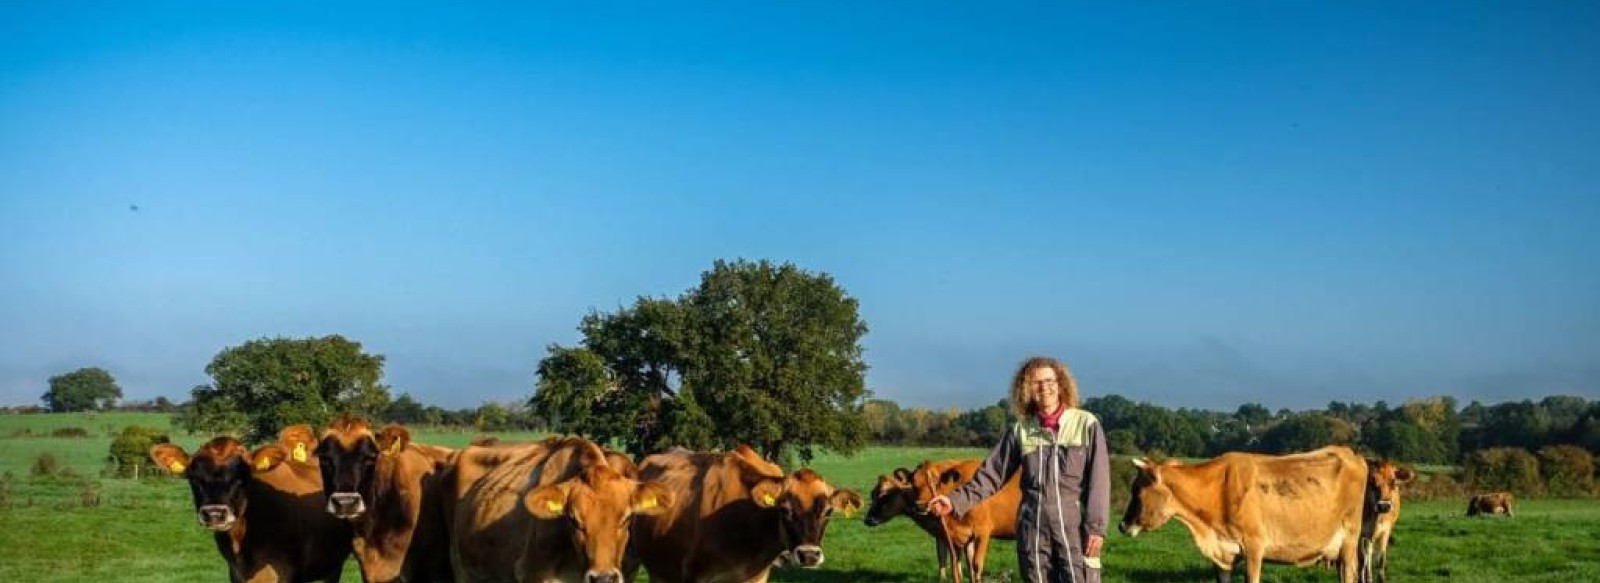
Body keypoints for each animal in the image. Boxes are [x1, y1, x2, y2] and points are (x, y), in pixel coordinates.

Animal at [1120, 445, 1369, 583]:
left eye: (1137, 490)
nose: (1122, 526)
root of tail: (1350, 453)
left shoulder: (1254, 547)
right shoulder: (1222, 554)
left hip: (1349, 541)